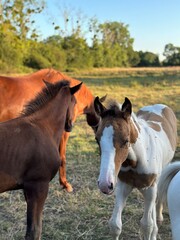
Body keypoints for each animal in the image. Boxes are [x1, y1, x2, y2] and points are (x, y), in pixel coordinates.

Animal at [0, 79, 81, 239]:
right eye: (74, 102)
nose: (70, 126)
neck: (43, 126)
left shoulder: (27, 189)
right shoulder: (38, 187)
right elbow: (34, 230)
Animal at [94, 97, 177, 240]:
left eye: (126, 140)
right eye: (97, 139)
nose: (105, 184)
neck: (136, 161)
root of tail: (159, 105)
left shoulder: (150, 189)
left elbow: (147, 225)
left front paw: (152, 230)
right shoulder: (123, 186)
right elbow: (115, 224)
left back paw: (159, 217)